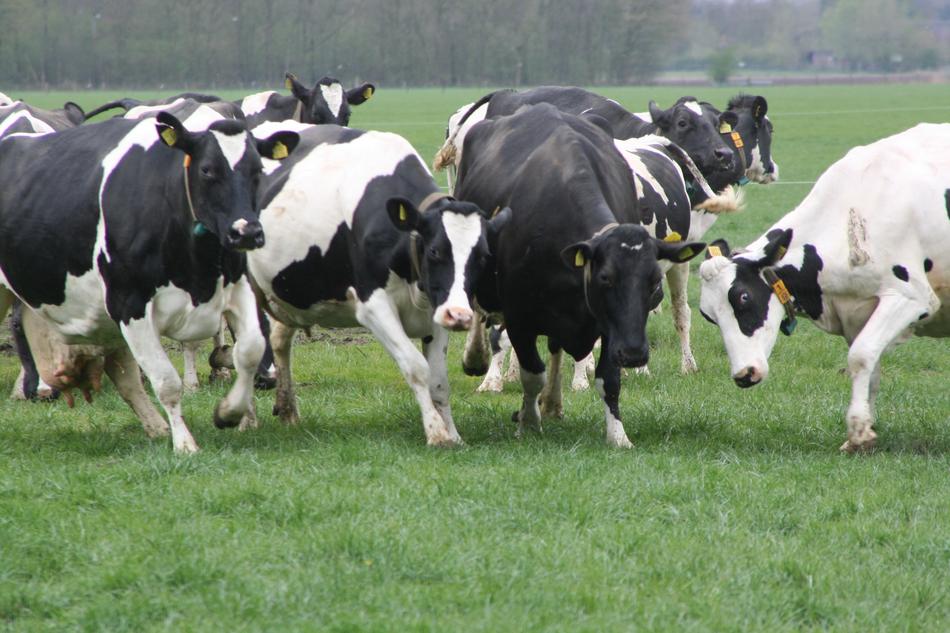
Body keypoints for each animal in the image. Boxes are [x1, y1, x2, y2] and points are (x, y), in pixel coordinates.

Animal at [0, 106, 299, 452]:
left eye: (258, 170)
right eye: (207, 170)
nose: (247, 232)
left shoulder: (239, 288)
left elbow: (249, 351)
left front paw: (229, 413)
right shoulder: (128, 303)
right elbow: (166, 381)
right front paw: (185, 445)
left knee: (124, 377)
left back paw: (156, 427)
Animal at [245, 120, 507, 446]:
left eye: (483, 256)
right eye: (435, 251)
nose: (460, 315)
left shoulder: (437, 308)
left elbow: (438, 381)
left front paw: (453, 434)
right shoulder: (373, 307)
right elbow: (416, 368)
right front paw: (436, 433)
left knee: (280, 341)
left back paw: (287, 410)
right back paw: (246, 418)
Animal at [455, 104, 705, 447]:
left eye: (654, 284)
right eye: (605, 278)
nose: (635, 353)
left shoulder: (609, 324)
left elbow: (608, 380)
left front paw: (618, 435)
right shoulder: (520, 316)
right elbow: (531, 373)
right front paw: (528, 423)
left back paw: (553, 402)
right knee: (480, 312)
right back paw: (476, 358)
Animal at [698, 123, 949, 452]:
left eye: (743, 297)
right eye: (709, 316)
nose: (744, 374)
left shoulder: (910, 297)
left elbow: (860, 356)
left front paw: (857, 432)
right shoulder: (856, 313)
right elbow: (870, 368)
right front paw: (865, 430)